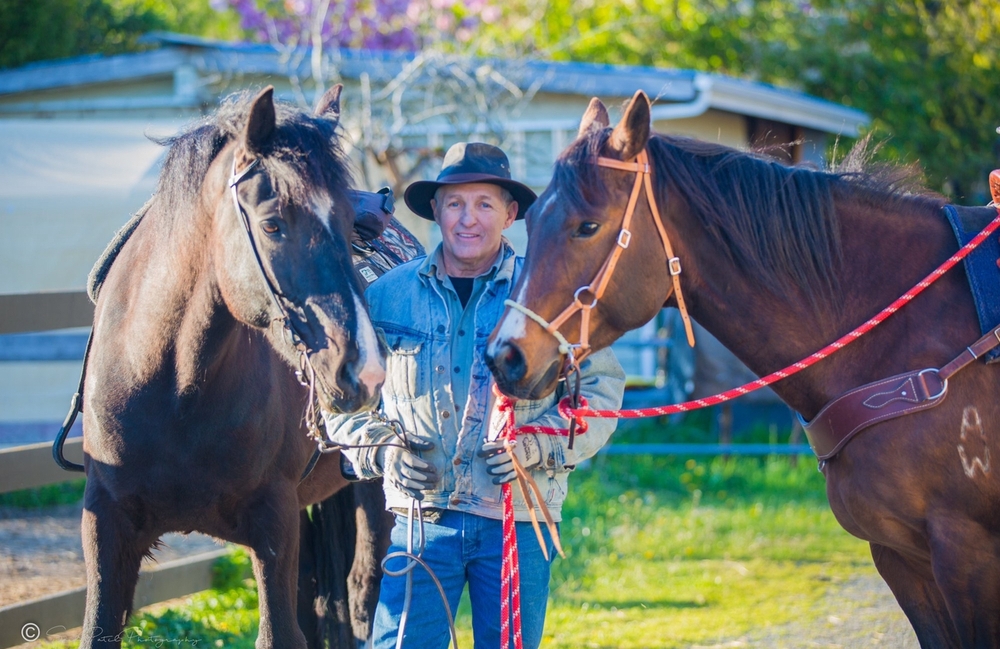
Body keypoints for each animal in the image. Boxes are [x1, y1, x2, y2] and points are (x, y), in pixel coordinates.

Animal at [80, 86, 384, 648]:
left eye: (347, 221)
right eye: (272, 224)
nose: (367, 368)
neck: (172, 391)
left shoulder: (274, 522)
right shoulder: (105, 523)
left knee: (363, 590)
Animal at [488, 92, 1000, 648]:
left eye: (587, 225)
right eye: (530, 222)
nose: (504, 356)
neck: (910, 340)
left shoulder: (963, 554)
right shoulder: (902, 559)